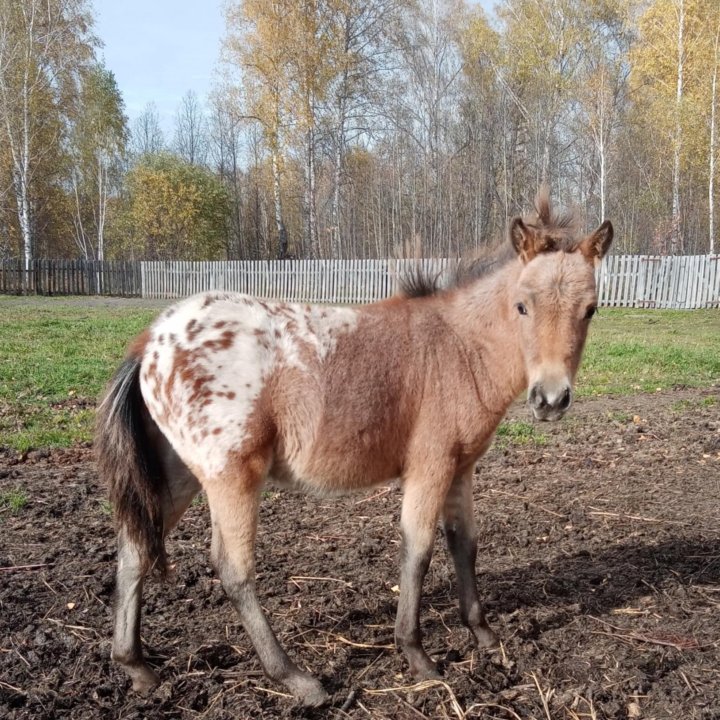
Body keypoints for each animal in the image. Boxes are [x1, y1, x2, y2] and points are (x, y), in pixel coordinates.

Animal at [95, 193, 612, 708]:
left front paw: (483, 634)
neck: (458, 347)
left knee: (135, 550)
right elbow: (417, 551)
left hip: (179, 474)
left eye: (591, 309)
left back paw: (136, 666)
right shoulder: (430, 466)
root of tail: (150, 343)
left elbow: (463, 544)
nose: (550, 399)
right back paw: (296, 678)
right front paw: (417, 656)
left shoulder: (461, 467)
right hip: (232, 475)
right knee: (232, 568)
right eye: (522, 306)